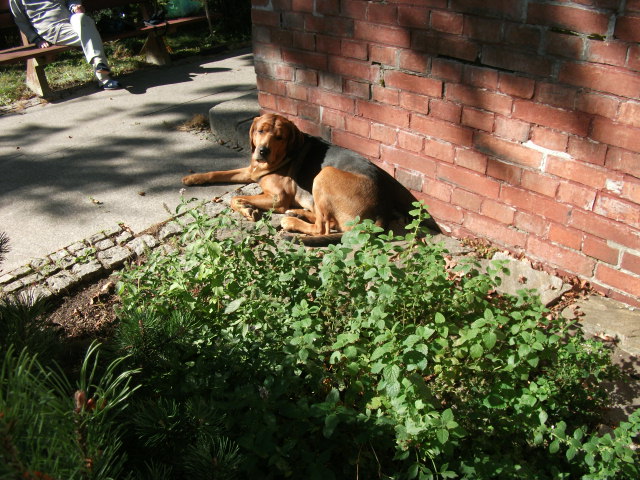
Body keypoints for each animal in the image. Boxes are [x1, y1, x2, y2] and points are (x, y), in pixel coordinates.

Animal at [182, 114, 438, 244]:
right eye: (260, 131)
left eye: (279, 137)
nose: (262, 151)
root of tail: (382, 210)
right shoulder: (251, 170)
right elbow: (220, 173)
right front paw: (193, 178)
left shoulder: (278, 197)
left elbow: (234, 199)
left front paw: (247, 208)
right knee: (327, 223)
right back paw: (298, 213)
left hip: (324, 175)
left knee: (322, 228)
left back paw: (292, 221)